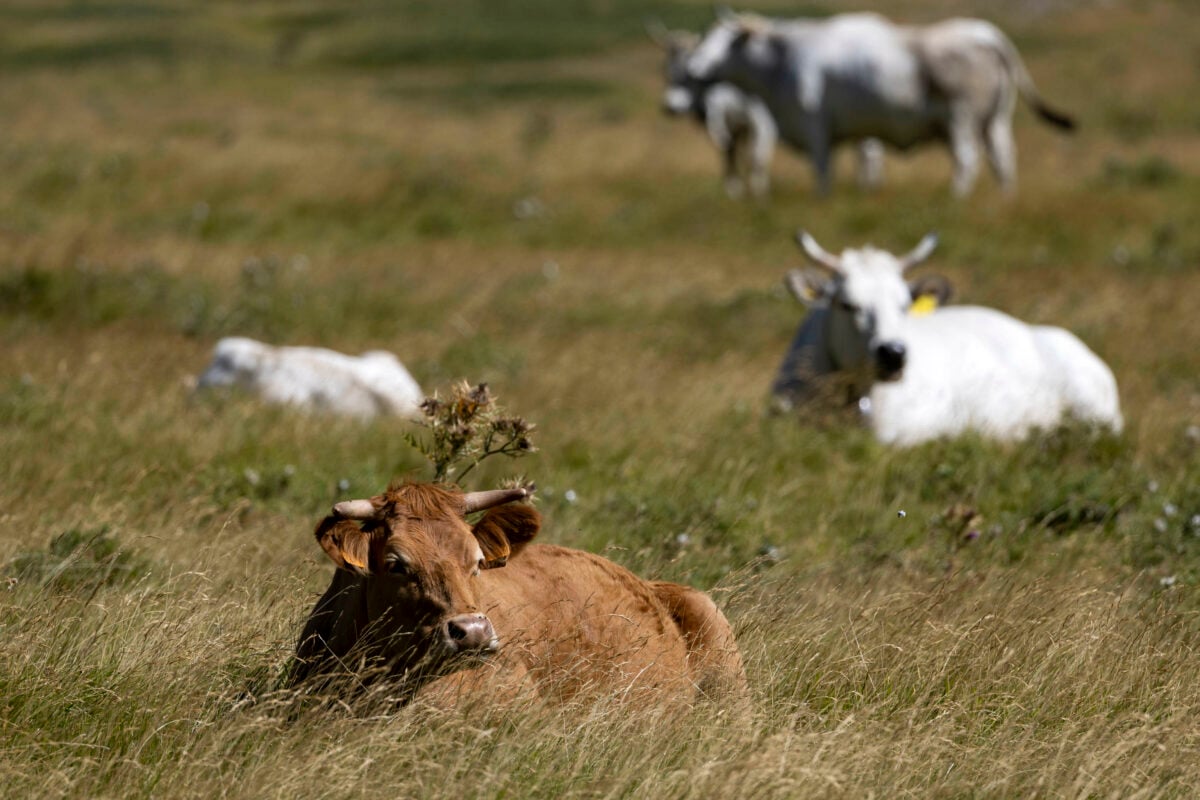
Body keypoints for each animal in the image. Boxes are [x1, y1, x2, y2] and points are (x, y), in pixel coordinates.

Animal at [686, 10, 1080, 196]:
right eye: (706, 38)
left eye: (726, 42)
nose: (694, 66)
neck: (781, 65)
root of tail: (989, 36)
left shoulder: (816, 125)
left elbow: (823, 172)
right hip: (994, 121)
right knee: (1003, 160)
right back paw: (1003, 202)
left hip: (961, 118)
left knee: (967, 160)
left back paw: (955, 199)